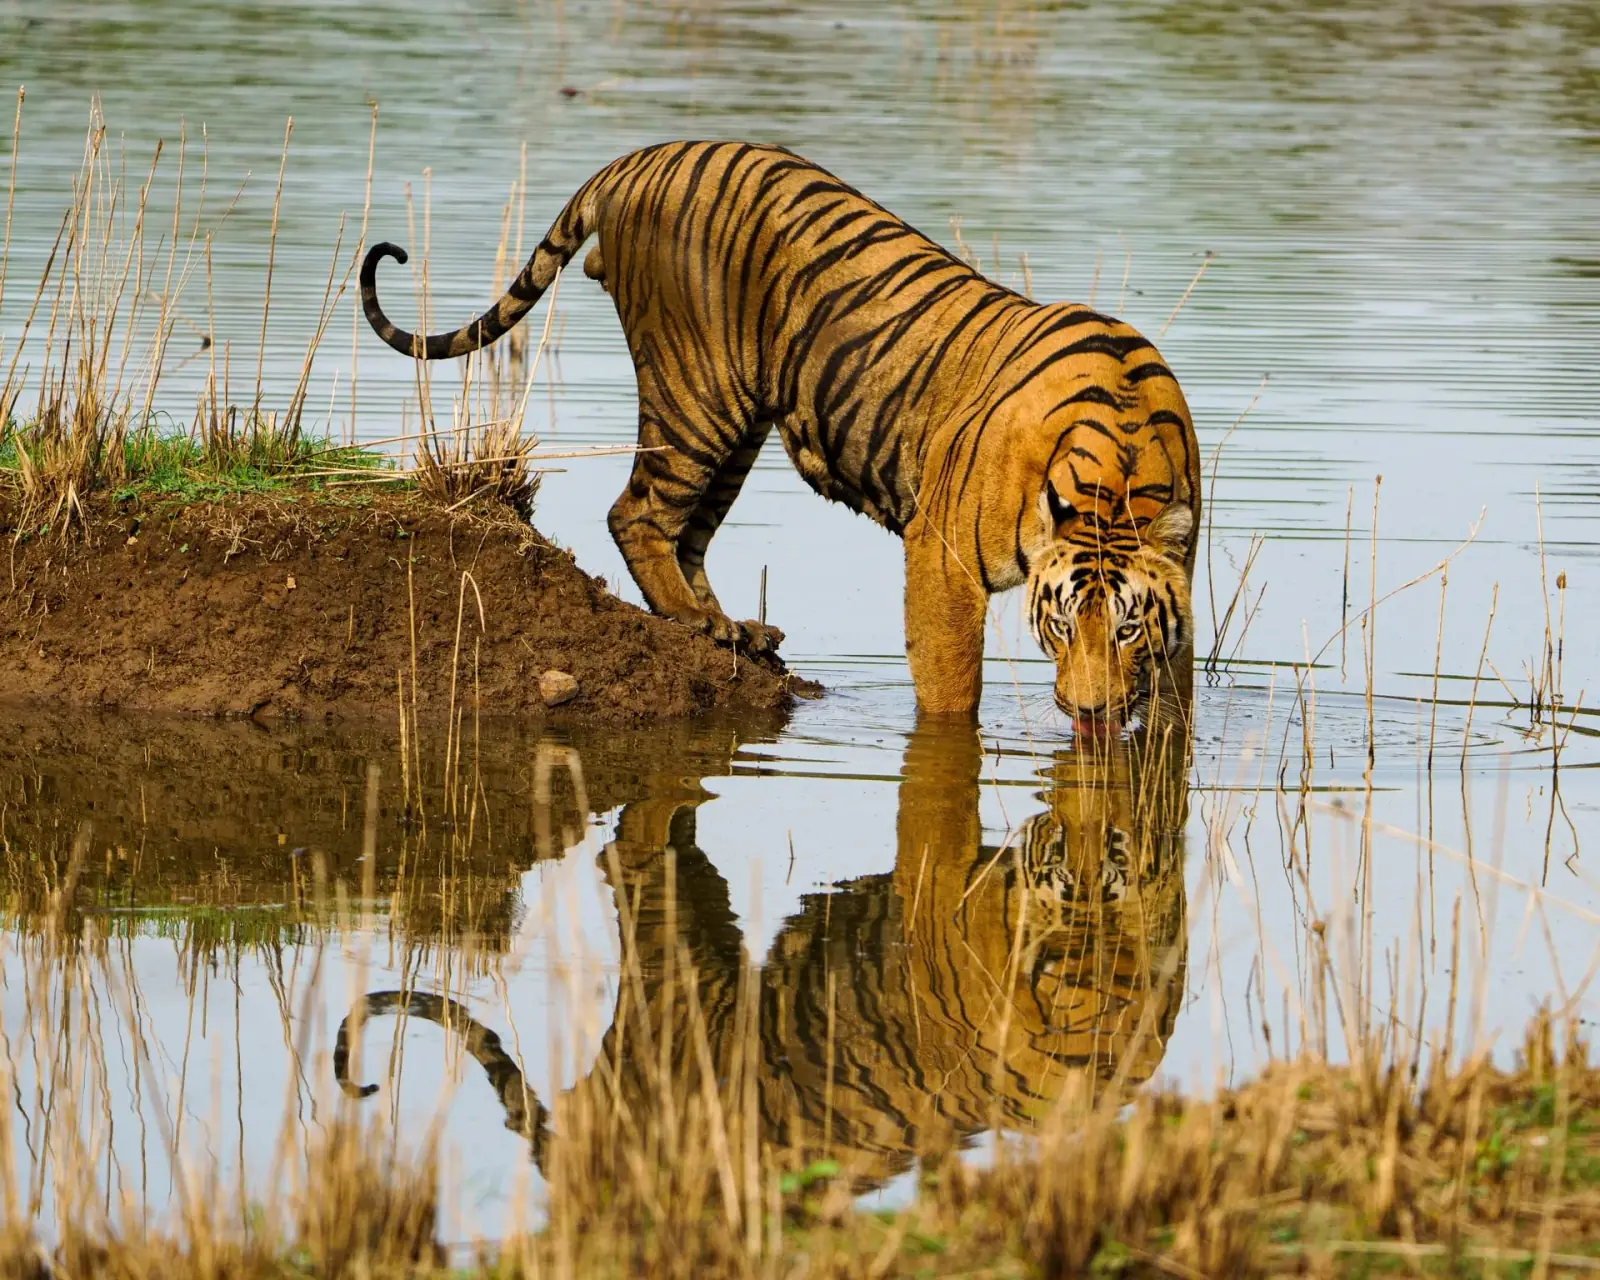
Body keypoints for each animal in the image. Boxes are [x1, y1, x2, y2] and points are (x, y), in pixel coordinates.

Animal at [361, 141, 1201, 723]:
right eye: (1059, 623)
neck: (1121, 462)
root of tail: (639, 158)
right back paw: (699, 622)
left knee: (686, 534)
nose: (1091, 714)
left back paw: (734, 627)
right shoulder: (942, 560)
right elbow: (950, 689)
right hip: (698, 396)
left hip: (737, 431)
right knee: (635, 513)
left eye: (1127, 630)